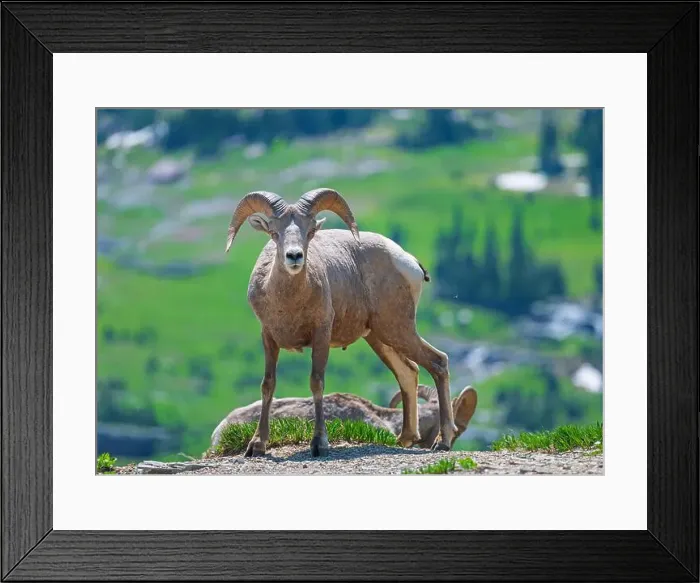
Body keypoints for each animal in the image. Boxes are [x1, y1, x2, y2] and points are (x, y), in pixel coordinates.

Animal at [225, 188, 457, 457]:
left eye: (310, 232)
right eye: (274, 232)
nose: (294, 257)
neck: (288, 302)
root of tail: (409, 262)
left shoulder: (321, 335)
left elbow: (317, 382)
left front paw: (319, 443)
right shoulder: (269, 337)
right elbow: (268, 385)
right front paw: (257, 445)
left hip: (399, 329)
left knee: (437, 362)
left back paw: (443, 441)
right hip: (380, 338)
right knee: (409, 371)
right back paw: (405, 439)